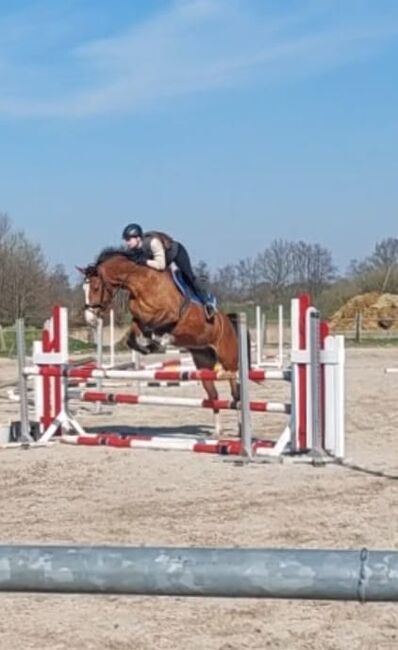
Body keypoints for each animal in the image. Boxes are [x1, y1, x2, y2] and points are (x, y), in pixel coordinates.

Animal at [78, 248, 247, 436]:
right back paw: (218, 431)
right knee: (213, 395)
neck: (141, 282)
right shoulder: (140, 319)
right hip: (203, 363)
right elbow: (133, 336)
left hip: (228, 361)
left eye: (95, 287)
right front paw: (148, 347)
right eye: (83, 288)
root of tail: (229, 321)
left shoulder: (169, 314)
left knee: (236, 393)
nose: (90, 319)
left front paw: (160, 341)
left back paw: (241, 430)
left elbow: (157, 327)